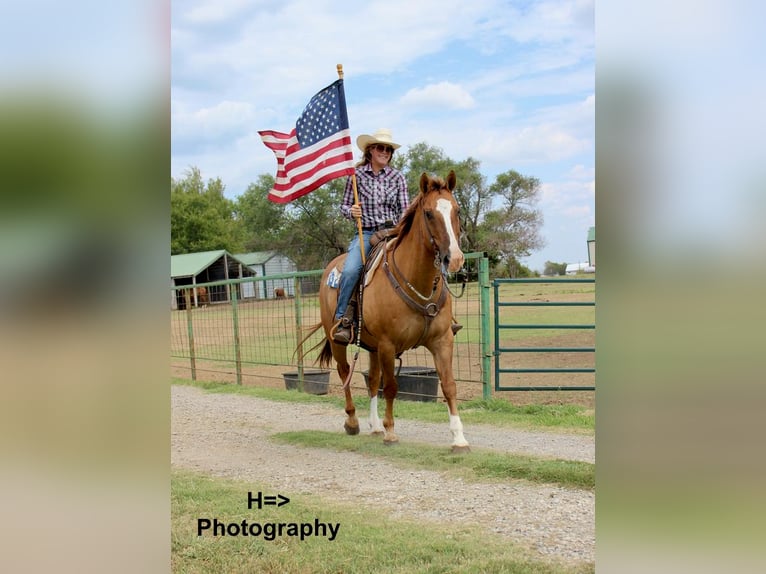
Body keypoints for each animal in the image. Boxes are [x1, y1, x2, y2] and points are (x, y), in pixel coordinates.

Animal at [304, 171, 472, 454]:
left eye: (457, 211)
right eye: (429, 213)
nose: (455, 259)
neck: (417, 279)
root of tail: (330, 268)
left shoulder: (442, 341)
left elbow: (448, 385)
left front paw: (459, 438)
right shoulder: (387, 344)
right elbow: (391, 386)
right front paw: (391, 432)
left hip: (371, 346)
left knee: (372, 380)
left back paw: (374, 426)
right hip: (338, 340)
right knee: (344, 371)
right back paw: (353, 421)